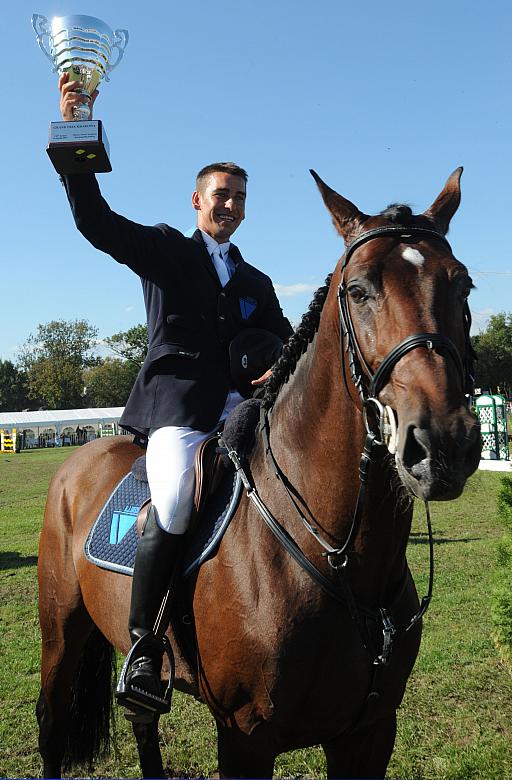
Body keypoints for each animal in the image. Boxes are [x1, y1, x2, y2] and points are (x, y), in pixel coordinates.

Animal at [35, 168, 480, 776]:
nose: (442, 443)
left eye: (464, 286)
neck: (344, 557)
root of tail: (79, 459)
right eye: (359, 290)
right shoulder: (245, 736)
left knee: (141, 722)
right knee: (51, 722)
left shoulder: (369, 732)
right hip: (61, 631)